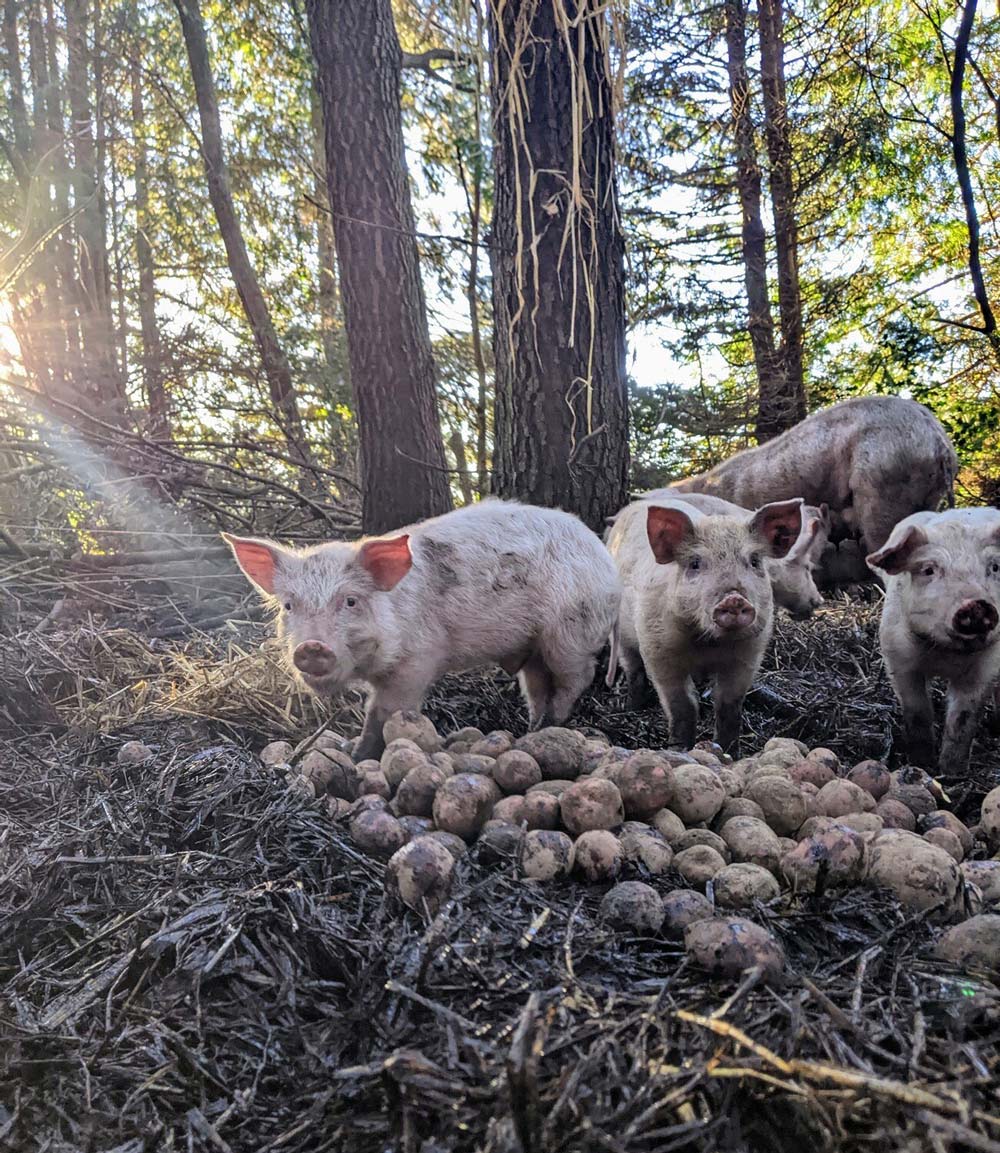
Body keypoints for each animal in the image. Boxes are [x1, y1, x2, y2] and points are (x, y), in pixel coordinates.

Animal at [223, 500, 621, 760]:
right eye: (289, 606)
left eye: (351, 601)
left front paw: (360, 757)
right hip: (534, 646)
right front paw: (352, 750)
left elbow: (383, 712)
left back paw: (548, 725)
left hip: (570, 635)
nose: (311, 647)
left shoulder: (418, 660)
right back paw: (531, 730)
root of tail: (604, 557)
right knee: (538, 687)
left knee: (577, 678)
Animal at [605, 496, 803, 753]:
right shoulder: (658, 652)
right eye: (695, 563)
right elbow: (683, 706)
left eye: (754, 561)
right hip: (620, 635)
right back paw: (632, 707)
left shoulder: (748, 655)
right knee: (633, 670)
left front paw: (730, 752)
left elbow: (729, 706)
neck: (708, 645)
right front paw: (679, 749)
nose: (734, 598)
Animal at [867, 507, 1000, 774]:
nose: (976, 604)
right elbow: (918, 711)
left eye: (995, 567)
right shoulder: (897, 656)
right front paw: (923, 764)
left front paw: (952, 773)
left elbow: (963, 718)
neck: (946, 654)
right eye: (929, 569)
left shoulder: (987, 664)